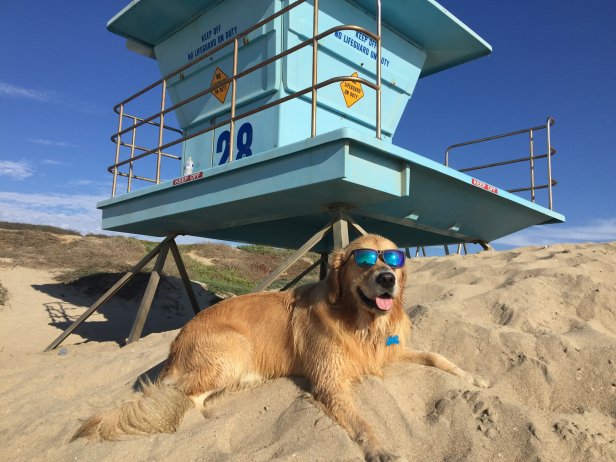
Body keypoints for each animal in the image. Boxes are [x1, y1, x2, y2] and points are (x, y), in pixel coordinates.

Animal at [72, 236, 486, 460]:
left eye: (395, 260)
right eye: (364, 259)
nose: (387, 279)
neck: (362, 323)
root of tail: (175, 343)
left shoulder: (390, 352)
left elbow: (436, 355)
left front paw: (473, 377)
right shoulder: (330, 381)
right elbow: (363, 419)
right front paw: (380, 448)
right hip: (233, 347)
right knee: (183, 398)